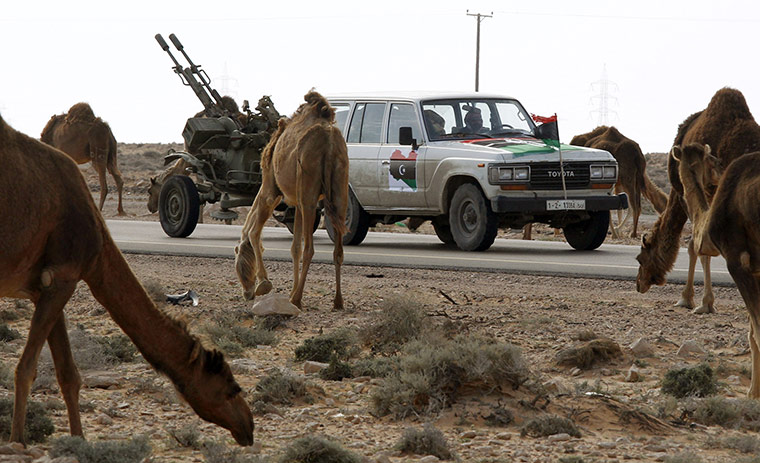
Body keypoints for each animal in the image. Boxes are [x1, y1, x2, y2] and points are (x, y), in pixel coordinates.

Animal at [0, 114, 253, 446]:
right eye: (230, 388)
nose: (248, 427)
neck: (98, 250)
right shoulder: (63, 276)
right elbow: (26, 369)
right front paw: (18, 441)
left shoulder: (46, 286)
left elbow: (68, 374)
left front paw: (79, 441)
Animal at [235, 90, 349, 310]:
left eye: (238, 267)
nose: (246, 293)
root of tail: (329, 143)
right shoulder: (295, 203)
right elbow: (294, 247)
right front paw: (290, 290)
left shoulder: (270, 189)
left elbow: (253, 233)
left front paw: (264, 283)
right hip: (339, 190)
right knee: (337, 249)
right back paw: (337, 301)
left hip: (308, 191)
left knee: (310, 249)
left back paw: (297, 298)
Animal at [673, 143, 760, 397]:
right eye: (715, 160)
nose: (719, 171)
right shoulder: (756, 269)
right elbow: (752, 334)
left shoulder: (737, 262)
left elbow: (757, 333)